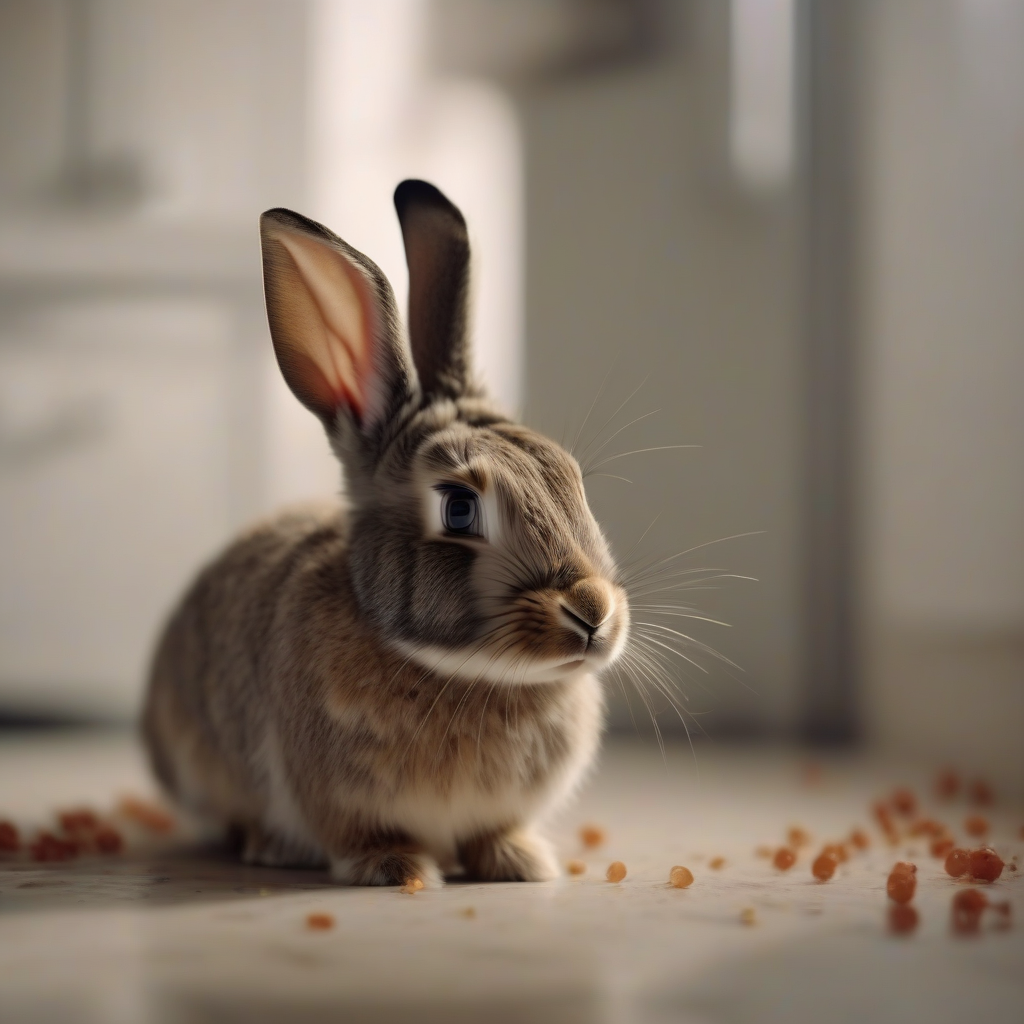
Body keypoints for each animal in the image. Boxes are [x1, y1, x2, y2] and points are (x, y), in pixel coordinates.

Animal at [142, 180, 630, 887]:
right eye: (459, 509)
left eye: (570, 477)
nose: (593, 612)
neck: (473, 675)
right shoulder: (339, 801)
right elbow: (363, 835)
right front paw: (398, 870)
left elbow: (494, 832)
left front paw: (520, 864)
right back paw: (271, 846)